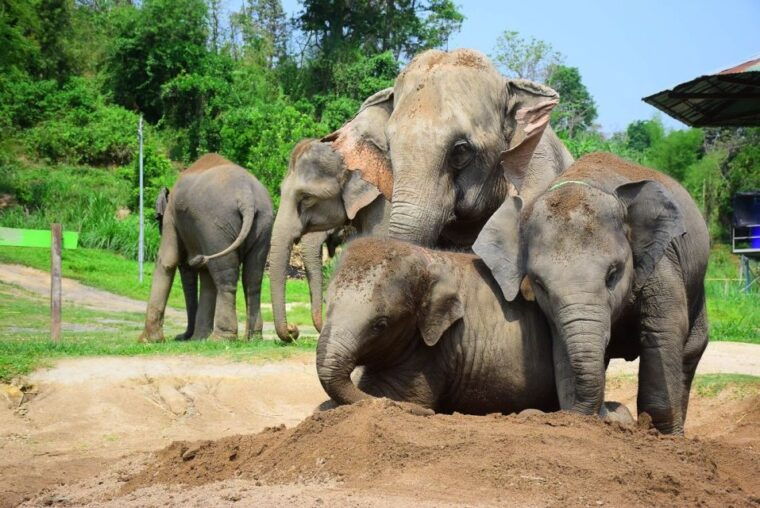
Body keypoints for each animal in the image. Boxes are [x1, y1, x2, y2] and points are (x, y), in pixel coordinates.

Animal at [140, 153, 274, 342]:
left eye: (158, 220)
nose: (182, 337)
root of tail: (247, 197)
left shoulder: (172, 217)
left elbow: (167, 260)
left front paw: (147, 341)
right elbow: (206, 276)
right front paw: (198, 339)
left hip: (216, 225)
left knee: (225, 277)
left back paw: (221, 339)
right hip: (263, 223)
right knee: (253, 277)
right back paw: (252, 338)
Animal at [473, 152, 710, 434]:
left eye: (613, 274)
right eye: (540, 284)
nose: (606, 411)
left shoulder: (661, 262)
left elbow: (663, 329)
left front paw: (662, 435)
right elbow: (561, 344)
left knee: (690, 351)